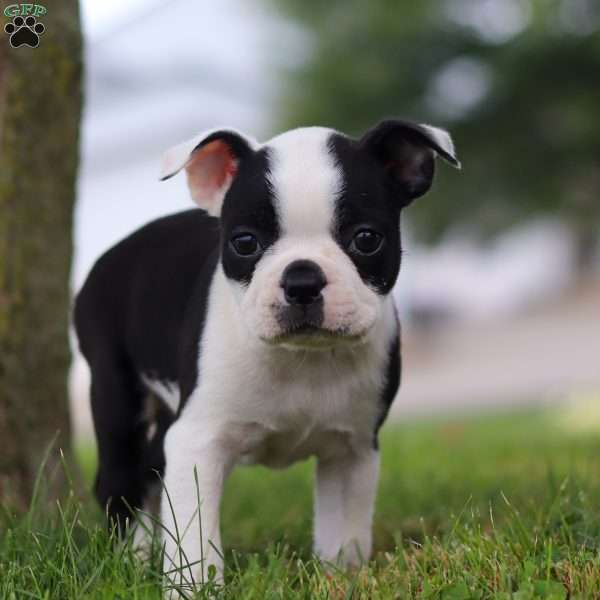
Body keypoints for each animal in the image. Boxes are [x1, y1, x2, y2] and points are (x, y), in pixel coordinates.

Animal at [75, 118, 460, 592]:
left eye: (367, 239)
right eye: (244, 243)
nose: (302, 279)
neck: (303, 357)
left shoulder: (351, 450)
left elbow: (344, 533)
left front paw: (341, 579)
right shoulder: (198, 440)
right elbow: (196, 538)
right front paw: (194, 589)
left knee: (151, 469)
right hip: (115, 393)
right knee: (120, 480)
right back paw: (131, 559)